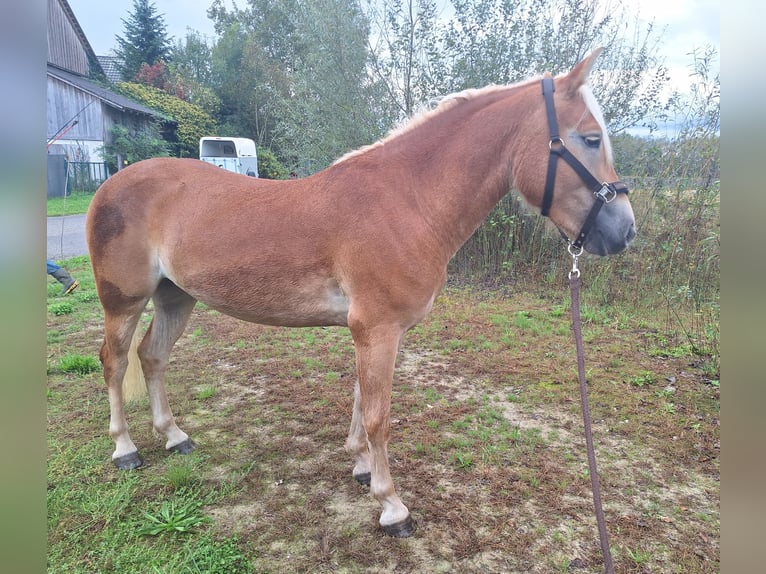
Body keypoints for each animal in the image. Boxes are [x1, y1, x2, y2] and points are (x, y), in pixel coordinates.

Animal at [85, 47, 636, 536]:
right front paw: (391, 507)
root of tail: (110, 184)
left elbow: (357, 399)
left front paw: (362, 468)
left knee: (152, 357)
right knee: (115, 361)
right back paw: (125, 449)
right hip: (124, 300)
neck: (407, 201)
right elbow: (378, 417)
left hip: (176, 297)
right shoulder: (378, 328)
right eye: (590, 138)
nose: (624, 231)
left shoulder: (375, 330)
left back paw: (174, 436)